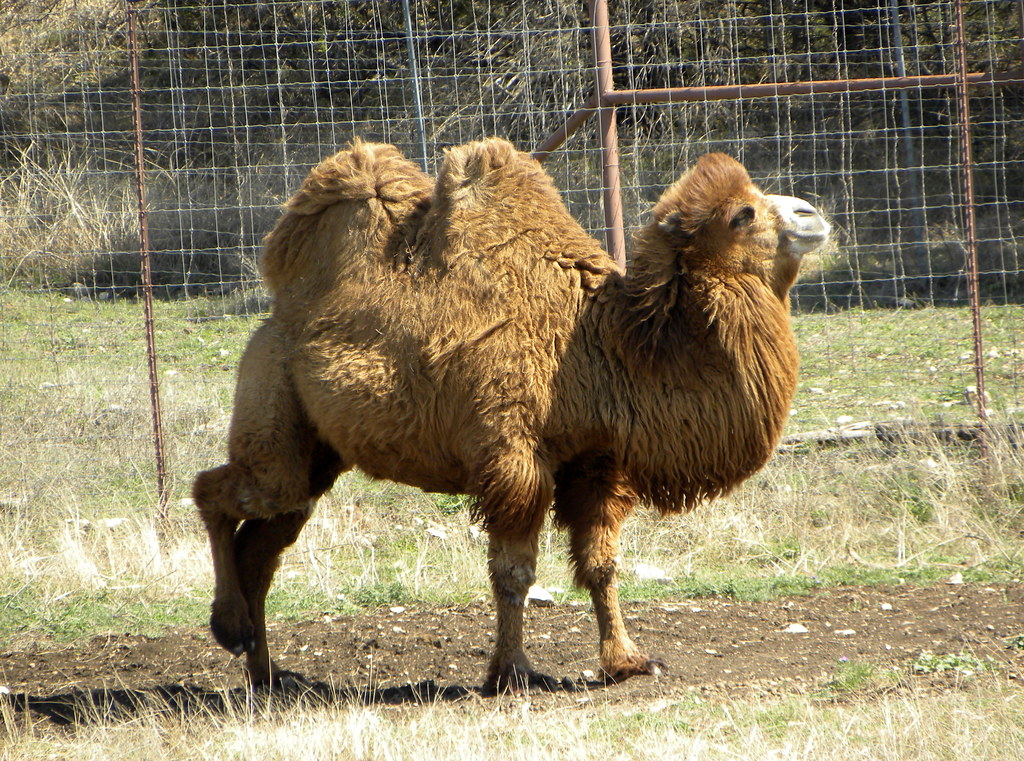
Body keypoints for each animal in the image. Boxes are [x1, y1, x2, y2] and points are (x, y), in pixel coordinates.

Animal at [192, 138, 830, 691]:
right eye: (742, 214)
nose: (812, 214)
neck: (601, 344)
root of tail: (277, 315)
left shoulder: (595, 463)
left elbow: (601, 564)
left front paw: (627, 662)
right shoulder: (513, 457)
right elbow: (514, 571)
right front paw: (512, 671)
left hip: (317, 456)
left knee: (263, 547)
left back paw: (265, 672)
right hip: (274, 407)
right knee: (216, 493)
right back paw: (230, 628)